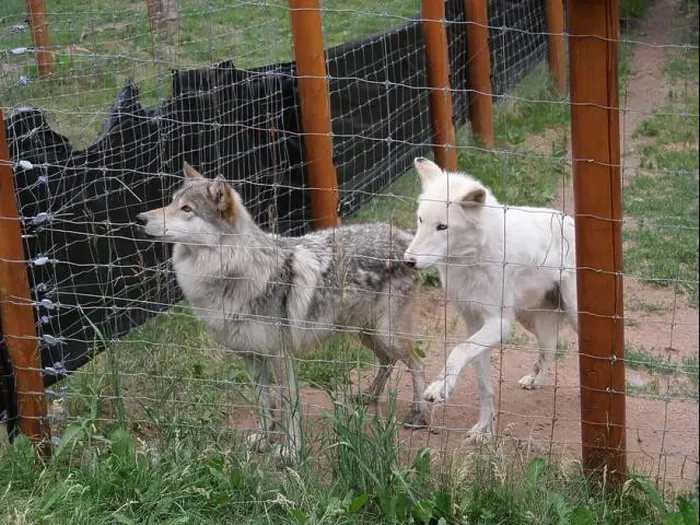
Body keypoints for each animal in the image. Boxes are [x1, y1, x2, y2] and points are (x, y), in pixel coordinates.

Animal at [135, 163, 428, 458]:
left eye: (187, 209)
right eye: (171, 202)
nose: (139, 218)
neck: (234, 271)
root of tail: (404, 235)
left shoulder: (279, 356)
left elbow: (289, 407)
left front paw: (291, 451)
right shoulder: (251, 357)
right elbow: (264, 403)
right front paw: (265, 439)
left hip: (387, 334)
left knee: (416, 364)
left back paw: (419, 415)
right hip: (366, 333)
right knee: (387, 361)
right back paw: (368, 396)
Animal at [403, 157, 577, 440]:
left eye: (443, 227)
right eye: (421, 220)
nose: (408, 261)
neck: (473, 259)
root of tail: (571, 220)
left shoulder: (499, 324)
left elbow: (458, 350)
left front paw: (440, 387)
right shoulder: (474, 323)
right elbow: (482, 382)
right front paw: (483, 430)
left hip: (571, 313)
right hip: (531, 321)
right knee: (551, 349)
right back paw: (534, 380)